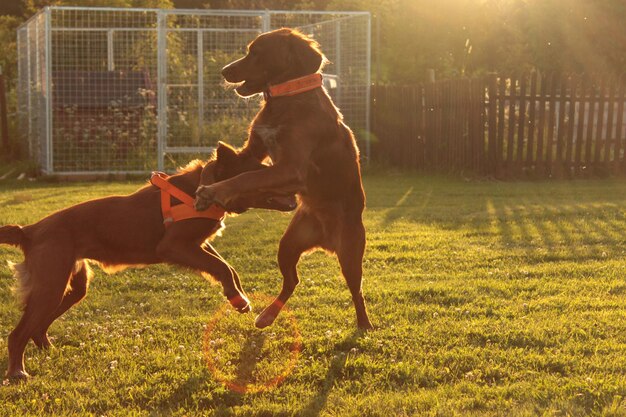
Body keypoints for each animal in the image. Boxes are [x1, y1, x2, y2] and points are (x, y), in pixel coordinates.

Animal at [0, 142, 296, 376]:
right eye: (259, 173)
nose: (295, 187)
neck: (202, 187)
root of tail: (30, 230)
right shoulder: (173, 245)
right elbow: (221, 266)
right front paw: (238, 299)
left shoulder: (197, 244)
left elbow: (228, 267)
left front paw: (237, 293)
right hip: (51, 284)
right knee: (17, 334)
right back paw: (17, 372)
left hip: (71, 285)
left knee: (37, 327)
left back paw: (48, 350)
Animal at [194, 27, 370, 330]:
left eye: (257, 53)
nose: (224, 70)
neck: (287, 98)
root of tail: (326, 241)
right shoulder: (252, 150)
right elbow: (215, 163)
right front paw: (205, 186)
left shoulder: (291, 168)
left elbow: (249, 176)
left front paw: (216, 191)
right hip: (287, 245)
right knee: (292, 281)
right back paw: (267, 315)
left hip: (350, 254)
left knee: (356, 290)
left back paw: (364, 324)